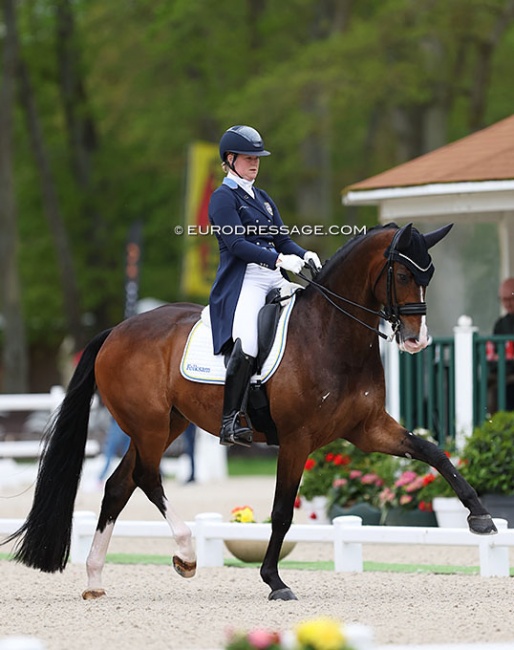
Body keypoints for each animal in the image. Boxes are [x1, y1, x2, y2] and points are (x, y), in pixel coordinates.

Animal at [3, 220, 492, 600]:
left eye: (429, 273)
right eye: (403, 273)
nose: (416, 340)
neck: (331, 334)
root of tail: (117, 330)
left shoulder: (369, 430)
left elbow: (434, 453)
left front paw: (481, 517)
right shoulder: (296, 440)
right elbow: (281, 511)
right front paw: (274, 581)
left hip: (166, 425)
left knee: (118, 485)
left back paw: (95, 578)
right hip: (148, 425)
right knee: (145, 477)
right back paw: (186, 553)